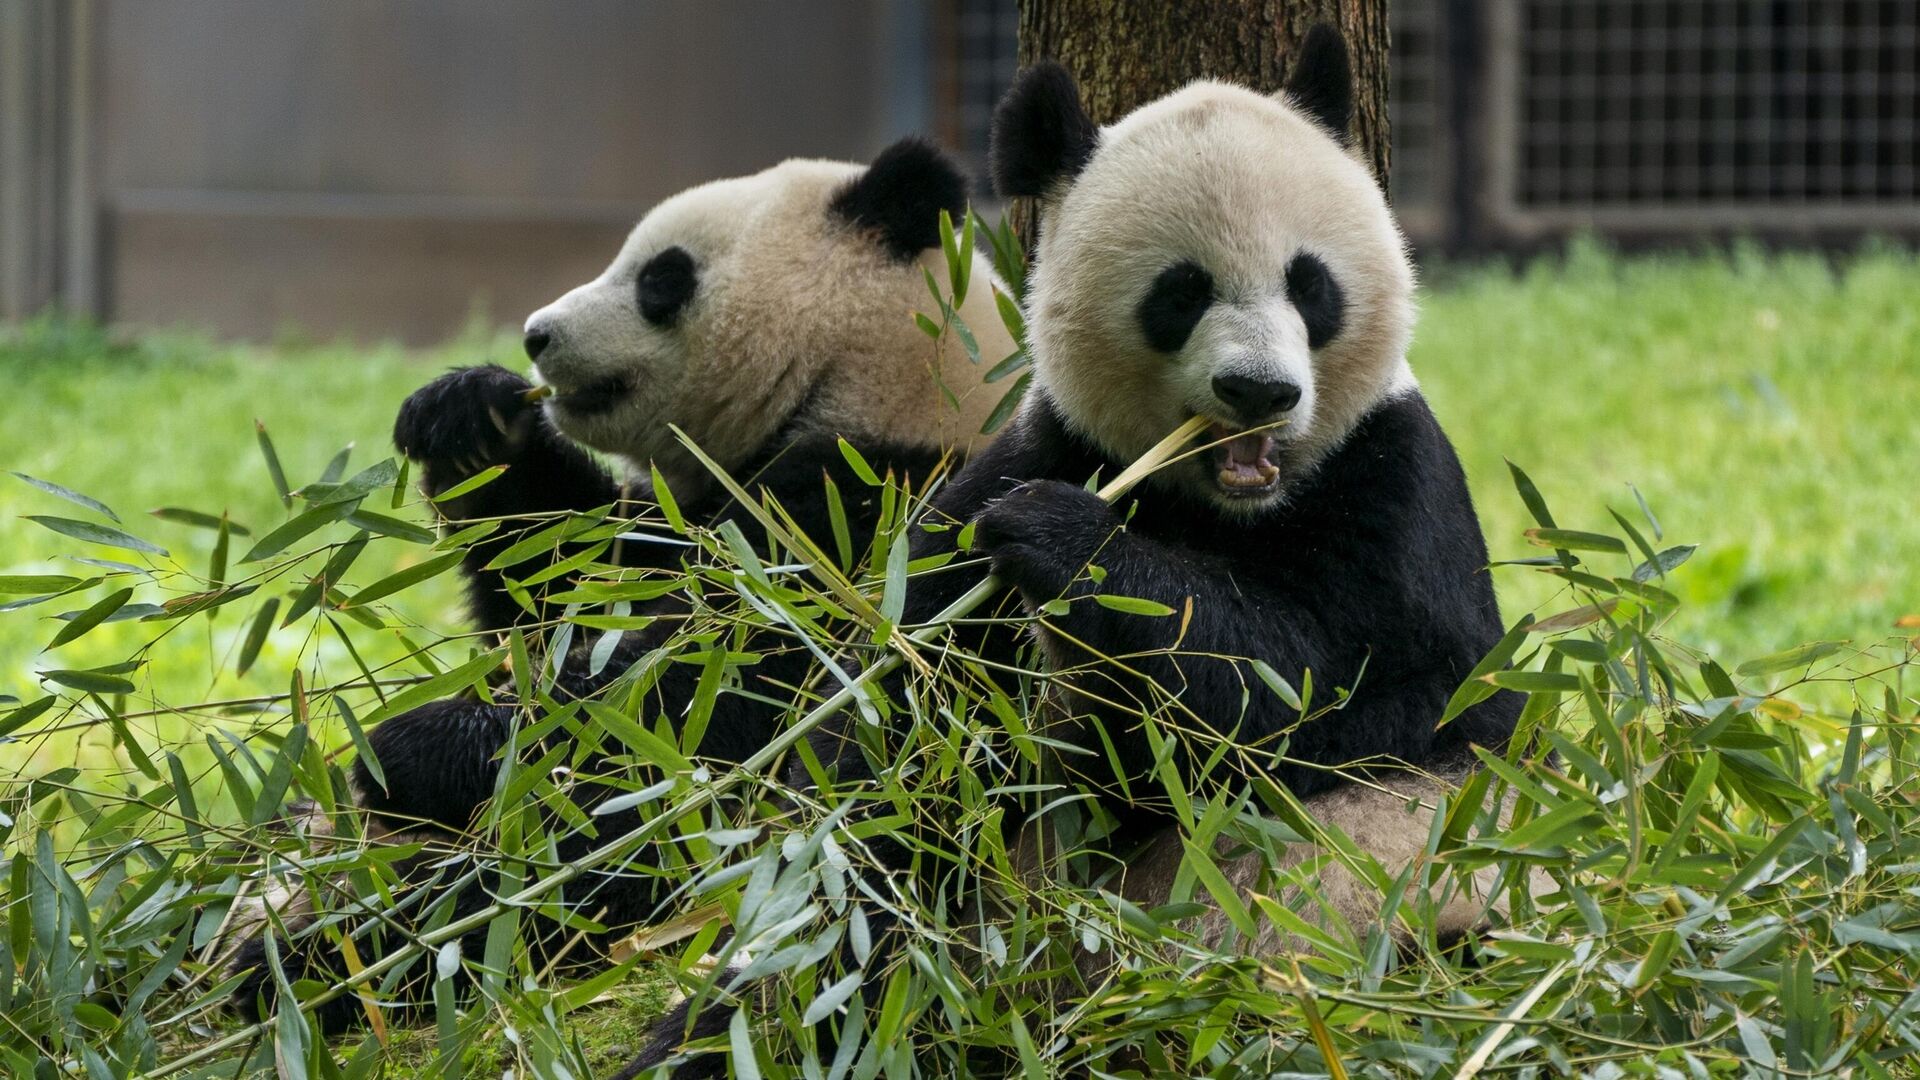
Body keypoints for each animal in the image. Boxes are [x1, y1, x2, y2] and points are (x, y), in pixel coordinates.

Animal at [228, 138, 1021, 1030]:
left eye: (660, 278)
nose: (536, 335)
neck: (879, 378)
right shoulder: (682, 513)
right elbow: (557, 589)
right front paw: (470, 419)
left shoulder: (869, 517)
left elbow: (696, 703)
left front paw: (408, 748)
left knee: (553, 882)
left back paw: (314, 963)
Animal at [629, 25, 1528, 1076]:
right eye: (1181, 293)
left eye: (1311, 285)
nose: (1259, 392)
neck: (1217, 504)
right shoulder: (1028, 457)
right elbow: (900, 745)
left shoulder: (1397, 494)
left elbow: (1335, 697)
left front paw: (1067, 544)